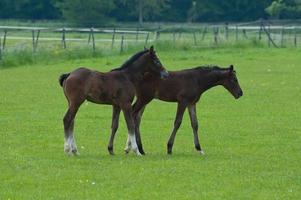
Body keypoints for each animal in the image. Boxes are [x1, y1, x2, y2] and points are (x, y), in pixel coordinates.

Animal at [109, 64, 243, 155]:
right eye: (234, 79)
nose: (240, 93)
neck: (198, 80)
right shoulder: (182, 101)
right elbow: (177, 122)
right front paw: (169, 147)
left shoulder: (191, 103)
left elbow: (195, 124)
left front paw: (199, 149)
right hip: (144, 98)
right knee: (132, 114)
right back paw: (131, 148)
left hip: (145, 99)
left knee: (137, 118)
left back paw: (139, 149)